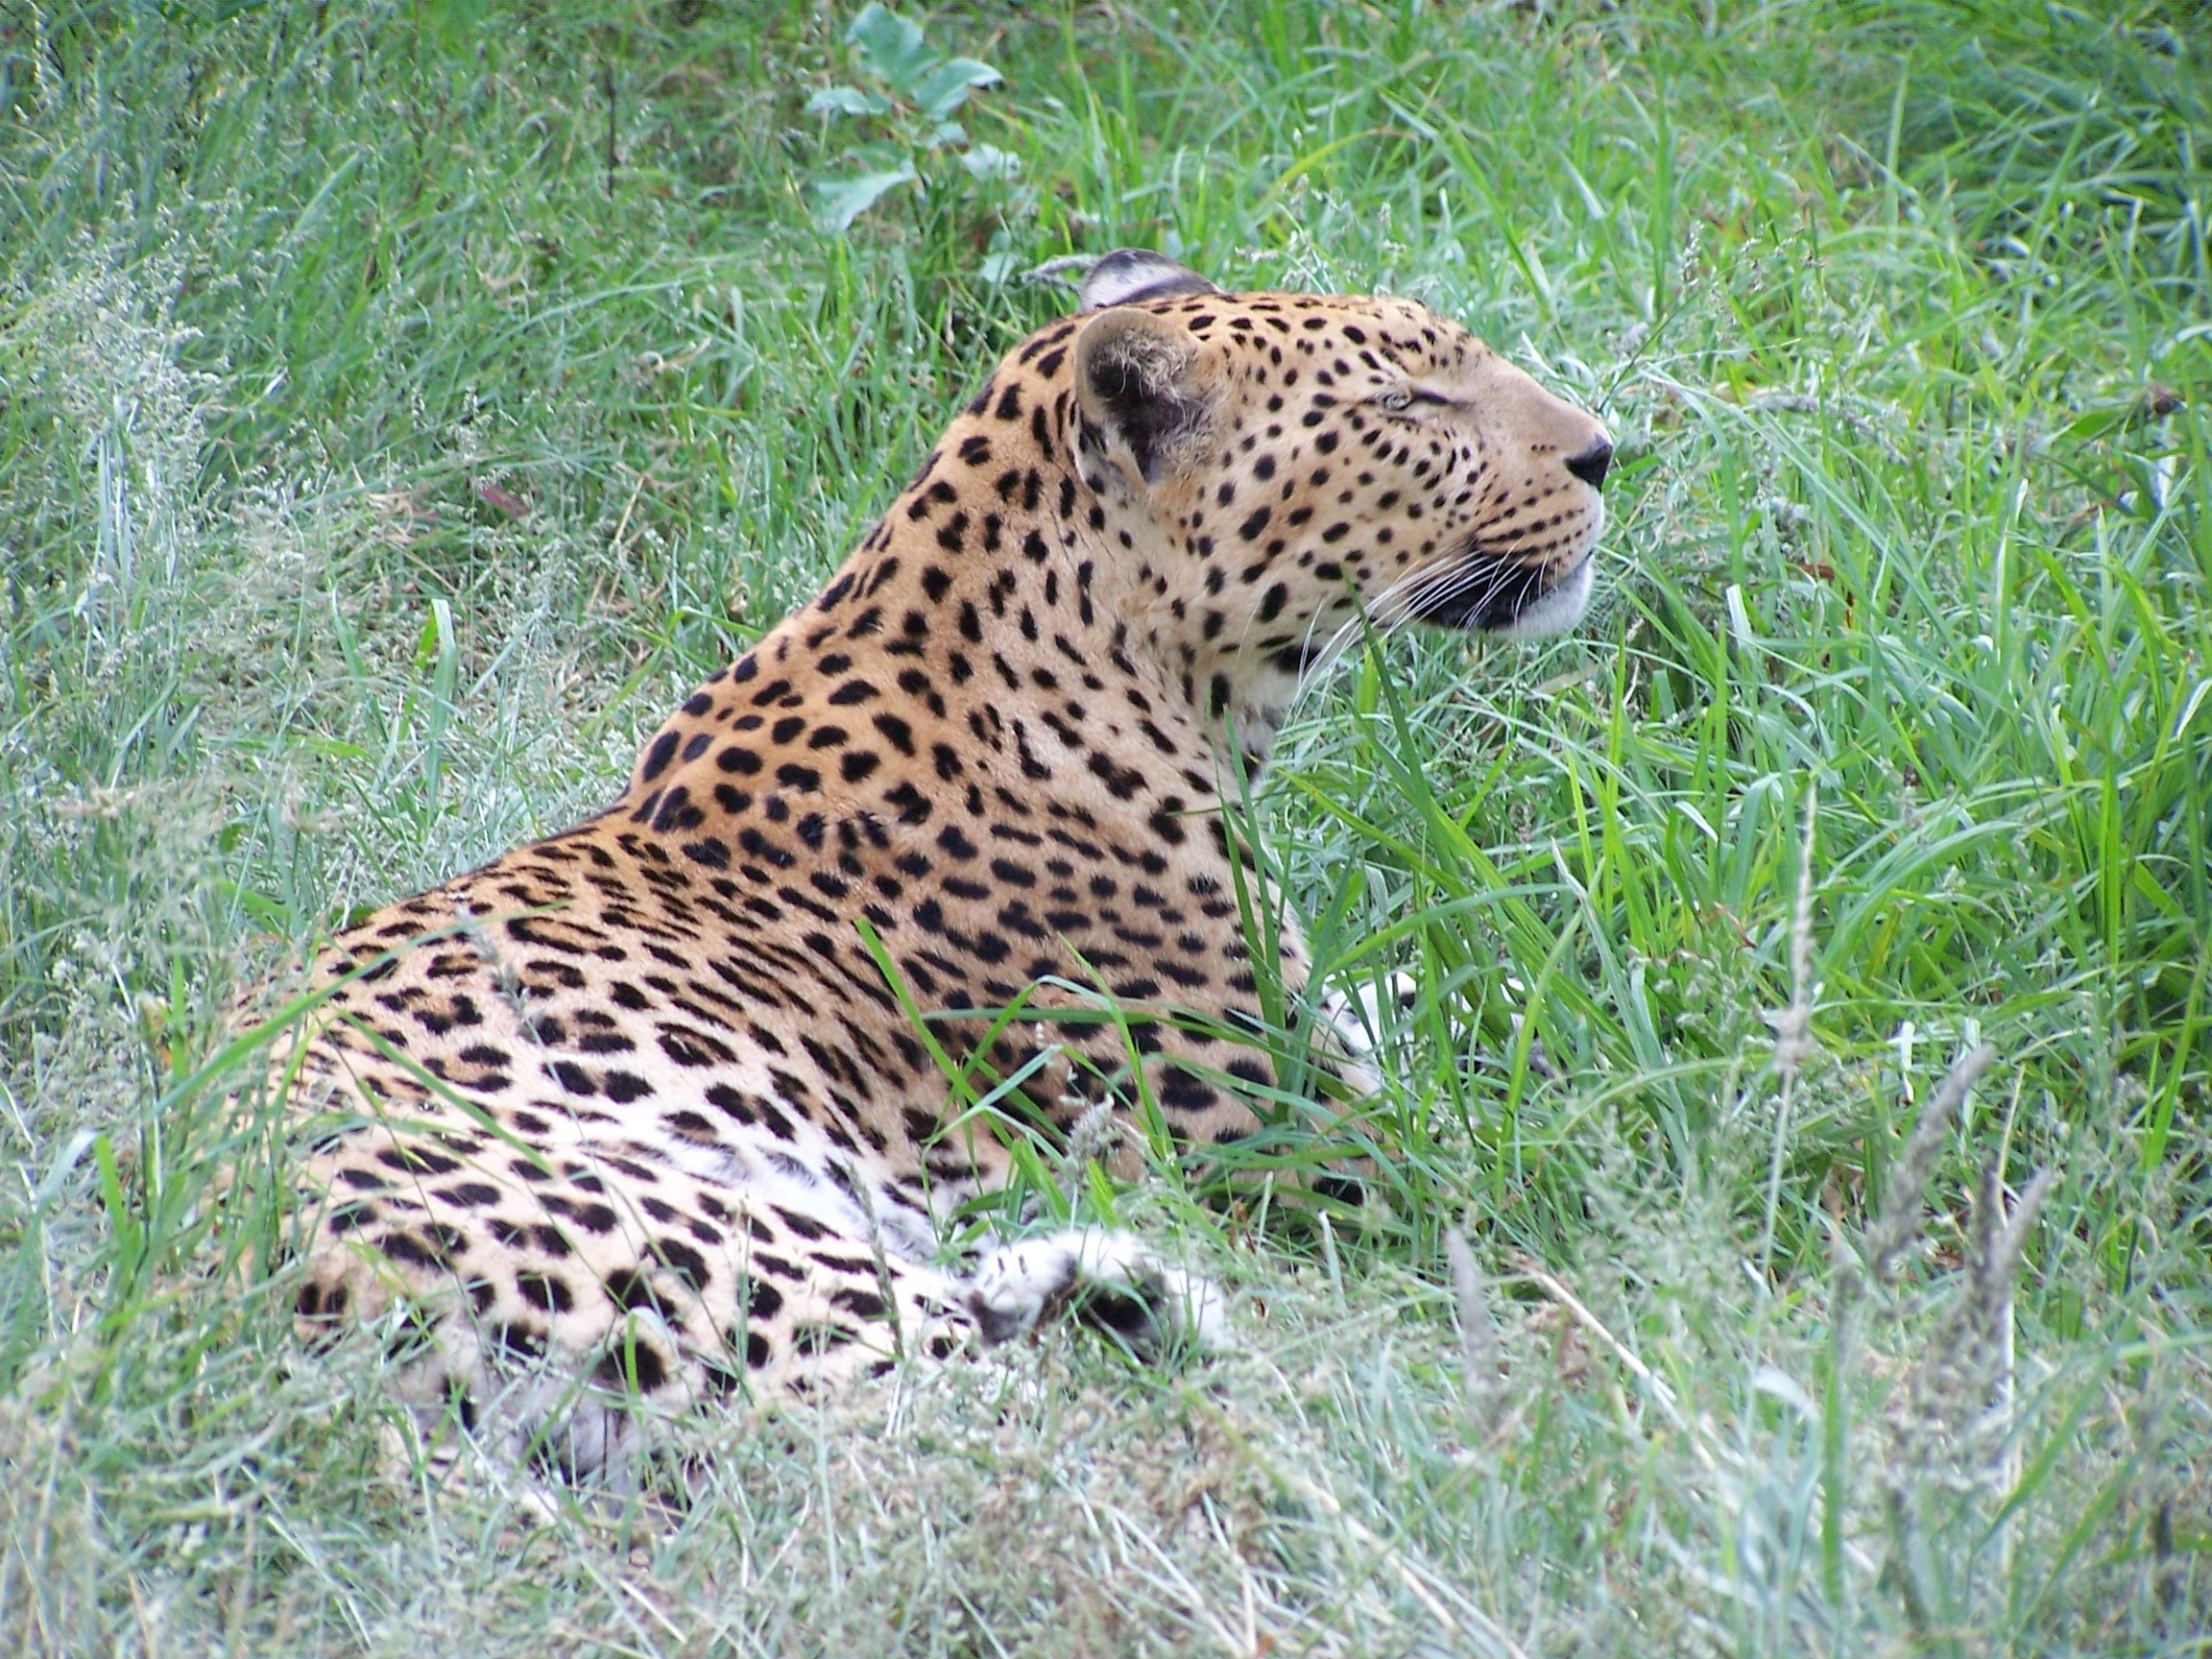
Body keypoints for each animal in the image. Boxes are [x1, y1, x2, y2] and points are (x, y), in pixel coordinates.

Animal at [263, 252, 1610, 1486]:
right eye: (1408, 404)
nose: (1606, 452)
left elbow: (1486, 1000)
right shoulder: (1332, 1145)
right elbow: (1552, 1142)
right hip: (768, 1262)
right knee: (1092, 1428)